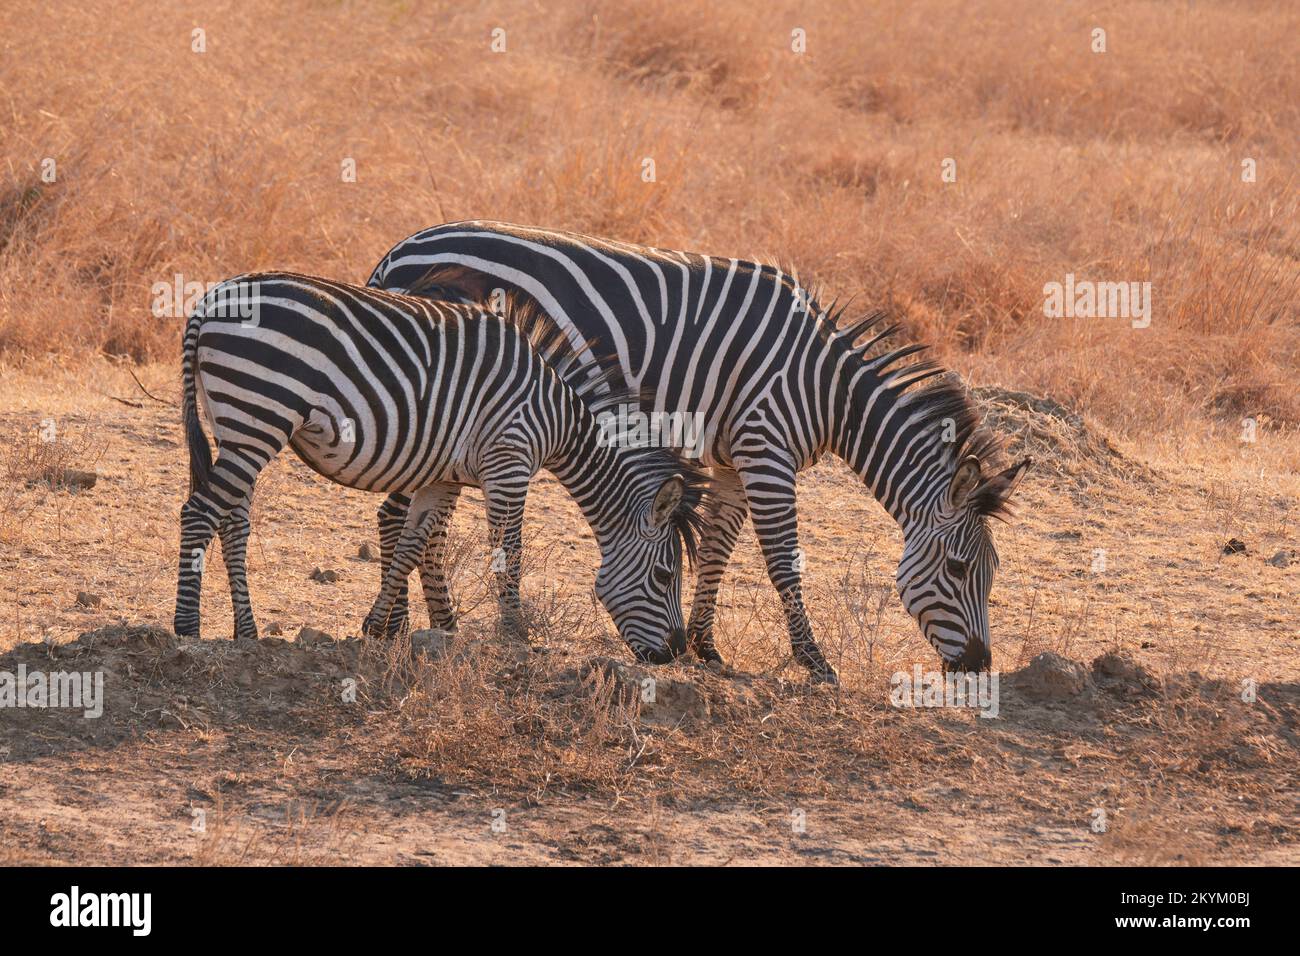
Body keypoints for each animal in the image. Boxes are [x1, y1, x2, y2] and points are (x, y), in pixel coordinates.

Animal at [172, 273, 707, 665]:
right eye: (664, 576)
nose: (674, 655)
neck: (554, 416)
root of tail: (211, 299)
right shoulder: (509, 462)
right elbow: (508, 551)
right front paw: (515, 635)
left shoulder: (444, 476)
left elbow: (412, 545)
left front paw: (377, 626)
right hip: (259, 414)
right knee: (198, 513)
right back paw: (186, 628)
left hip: (238, 425)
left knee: (233, 522)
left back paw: (246, 631)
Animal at [364, 221, 1024, 686]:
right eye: (959, 569)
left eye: (990, 574)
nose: (978, 664)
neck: (828, 390)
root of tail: (399, 249)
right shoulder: (766, 449)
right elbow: (782, 561)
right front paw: (814, 661)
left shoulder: (734, 459)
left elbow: (715, 550)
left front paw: (706, 648)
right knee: (397, 513)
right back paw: (399, 628)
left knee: (420, 517)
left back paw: (437, 627)